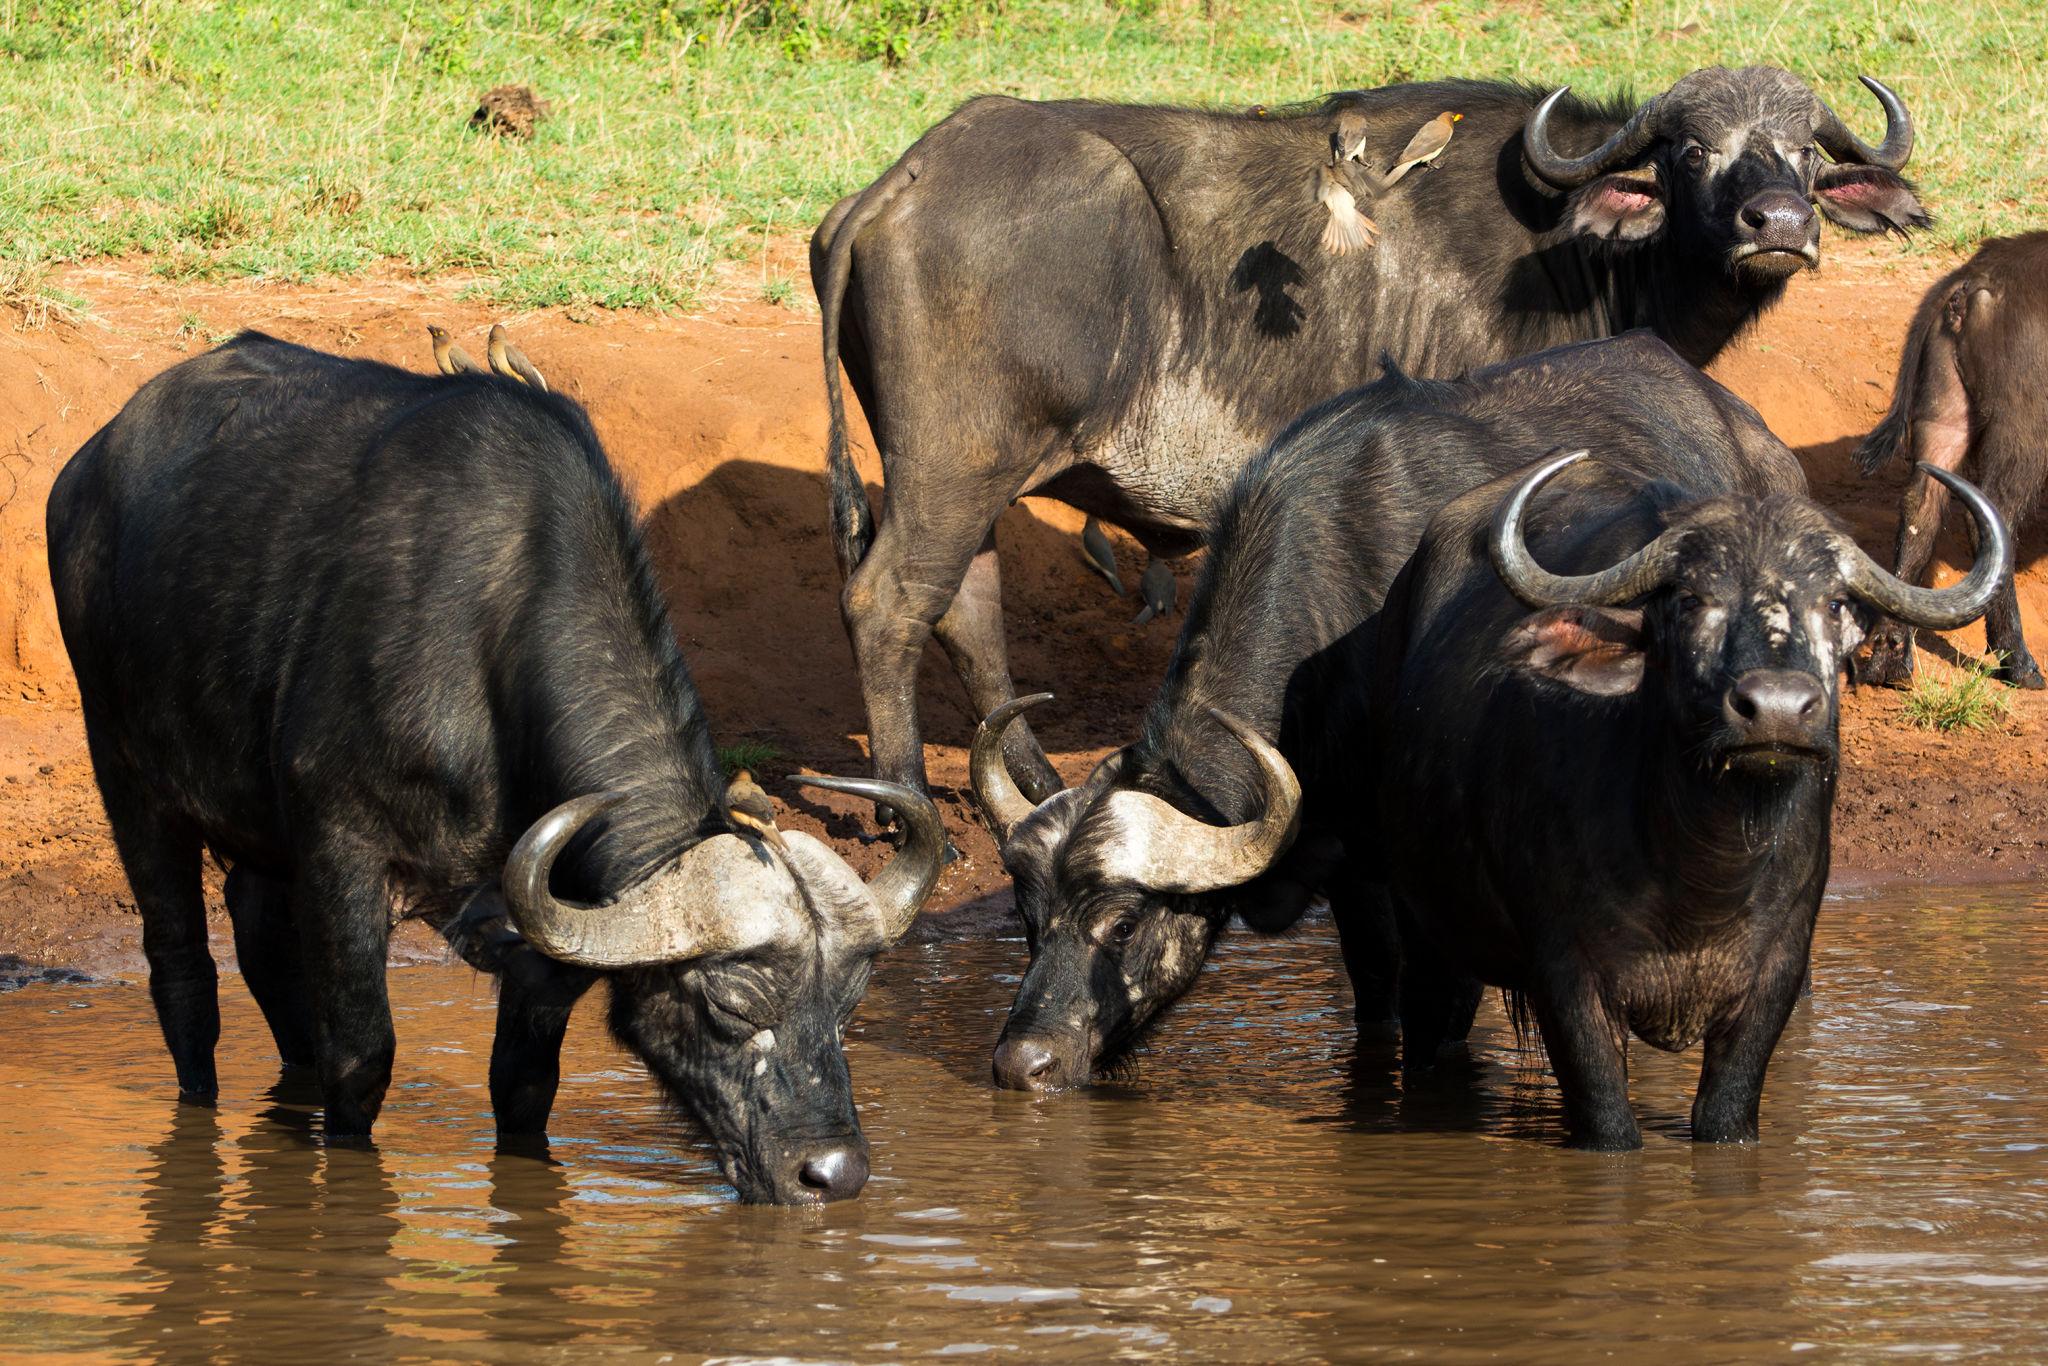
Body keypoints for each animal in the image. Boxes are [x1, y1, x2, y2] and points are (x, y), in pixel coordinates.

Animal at [46, 335, 945, 1203]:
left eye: (850, 1004)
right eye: (731, 999)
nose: (832, 1173)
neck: (489, 646)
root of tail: (88, 466)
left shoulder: (546, 941)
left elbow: (523, 1082)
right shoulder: (342, 855)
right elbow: (361, 1056)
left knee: (258, 935)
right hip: (129, 780)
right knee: (184, 973)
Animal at [815, 65, 1926, 812]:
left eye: (1805, 151)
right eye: (1692, 151)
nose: (1776, 223)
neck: (1570, 252)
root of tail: (901, 180)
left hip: (969, 480)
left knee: (966, 608)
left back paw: (1032, 776)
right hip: (955, 466)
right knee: (888, 601)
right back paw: (904, 796)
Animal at [969, 333, 1805, 1091]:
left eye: (1123, 921)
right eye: (1028, 918)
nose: (1022, 1063)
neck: (1336, 623)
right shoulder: (1350, 871)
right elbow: (1374, 995)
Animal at [1369, 451, 2005, 1148]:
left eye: (1835, 602)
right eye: (1691, 599)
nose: (1776, 708)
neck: (1702, 874)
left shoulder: (1774, 981)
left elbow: (1727, 1116)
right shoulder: (1567, 982)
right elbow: (1609, 1126)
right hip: (1423, 931)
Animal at [1856, 230, 2048, 690]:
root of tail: (1973, 278)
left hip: (1944, 416)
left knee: (1921, 508)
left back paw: (1890, 660)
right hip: (2025, 433)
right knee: (1992, 522)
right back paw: (2019, 663)